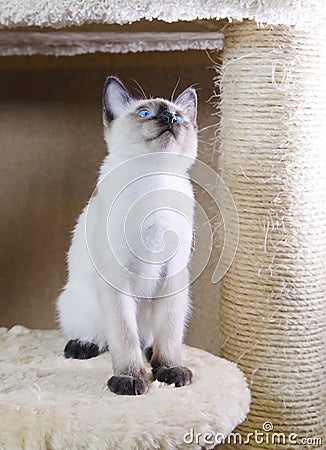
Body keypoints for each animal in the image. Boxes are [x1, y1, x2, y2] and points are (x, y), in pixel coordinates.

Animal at [56, 76, 196, 394]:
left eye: (179, 117)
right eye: (144, 113)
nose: (170, 119)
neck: (153, 180)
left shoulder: (174, 272)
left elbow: (170, 336)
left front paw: (170, 371)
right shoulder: (116, 275)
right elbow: (124, 336)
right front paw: (130, 379)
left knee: (151, 339)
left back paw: (153, 356)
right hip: (78, 301)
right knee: (106, 338)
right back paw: (82, 346)